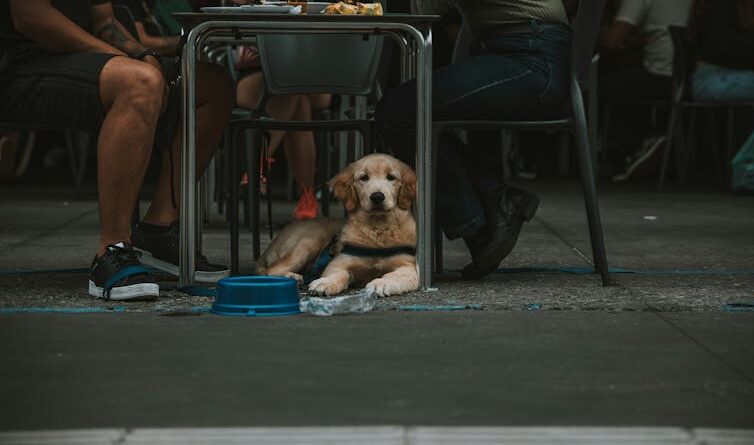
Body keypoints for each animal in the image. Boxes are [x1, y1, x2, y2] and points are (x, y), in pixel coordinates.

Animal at [258, 153, 418, 298]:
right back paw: (292, 277)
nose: (377, 197)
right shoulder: (339, 262)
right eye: (364, 177)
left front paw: (381, 283)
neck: (377, 229)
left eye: (391, 177)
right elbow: (338, 273)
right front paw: (325, 282)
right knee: (270, 270)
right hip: (308, 243)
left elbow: (394, 275)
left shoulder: (410, 267)